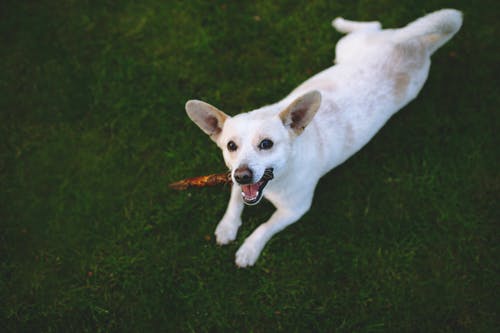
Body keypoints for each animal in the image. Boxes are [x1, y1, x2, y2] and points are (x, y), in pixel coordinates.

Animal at [186, 9, 462, 266]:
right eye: (231, 146)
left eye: (266, 144)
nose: (243, 175)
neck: (279, 179)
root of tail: (419, 45)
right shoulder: (235, 177)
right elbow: (235, 199)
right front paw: (227, 226)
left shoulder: (295, 210)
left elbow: (265, 226)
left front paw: (249, 249)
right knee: (374, 25)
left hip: (356, 49)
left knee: (373, 24)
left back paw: (341, 22)